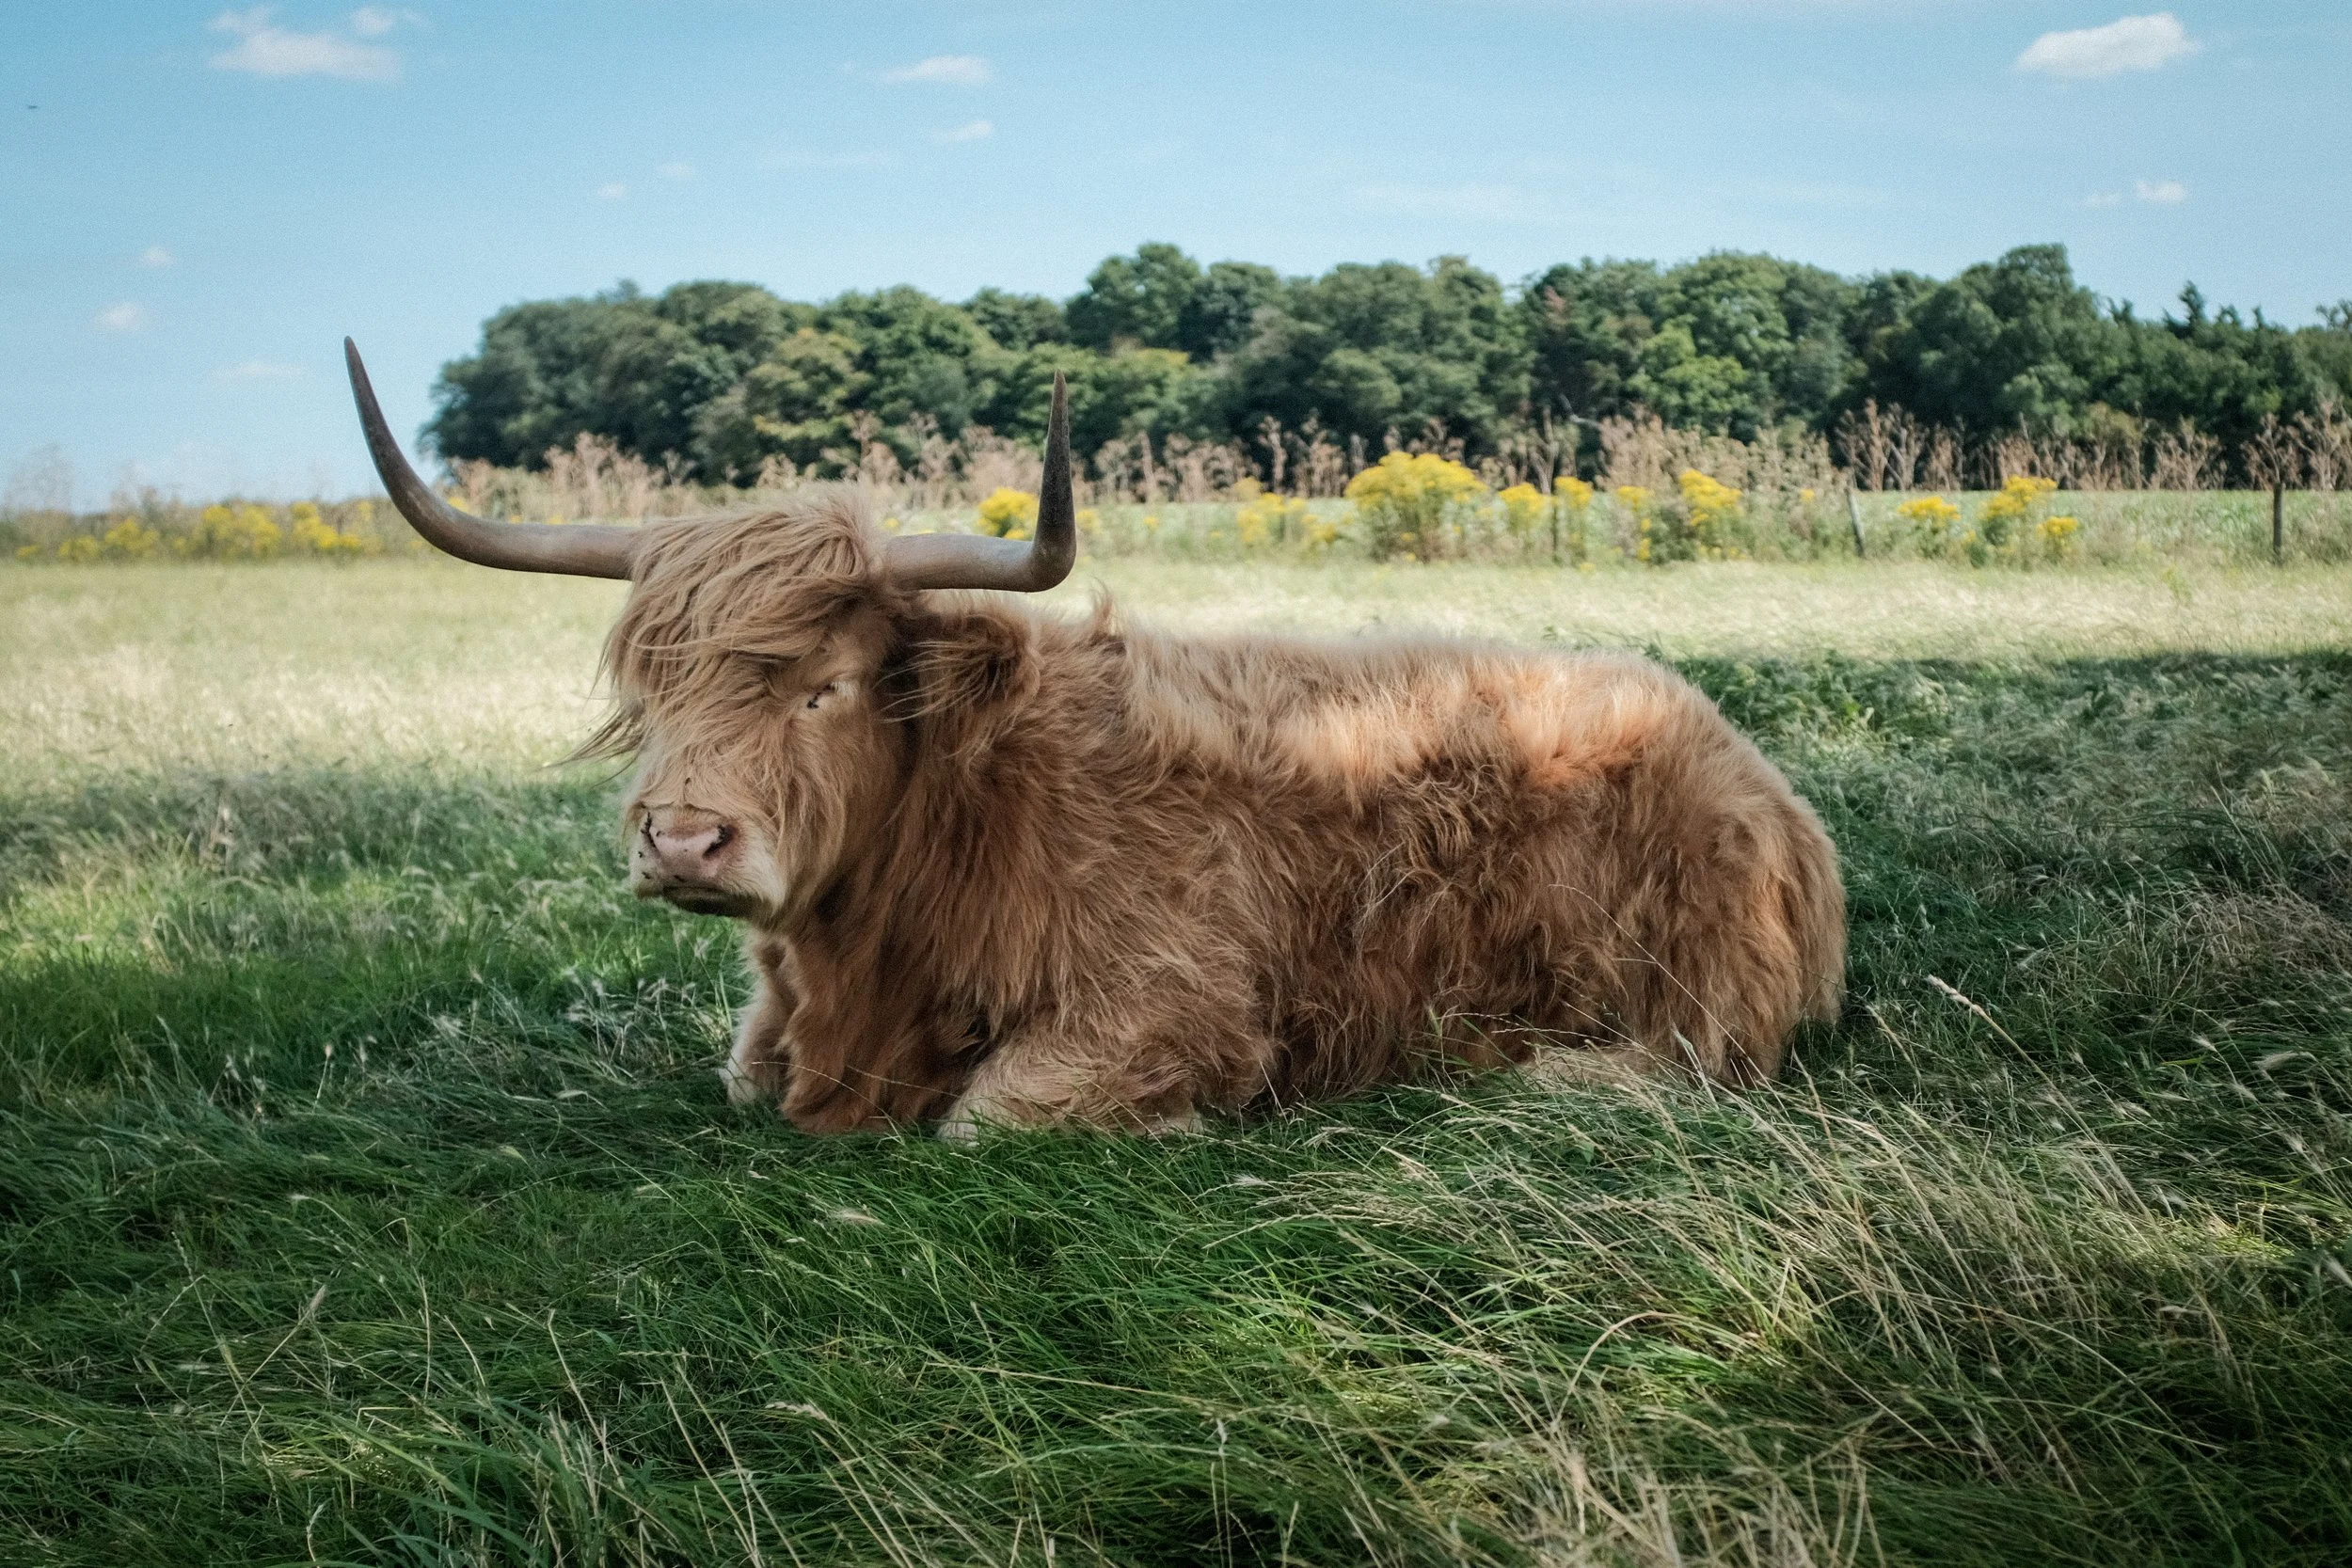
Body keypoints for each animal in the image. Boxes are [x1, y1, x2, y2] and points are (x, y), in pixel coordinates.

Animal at [347, 340, 1844, 1137]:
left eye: (826, 684)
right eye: (651, 689)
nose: (682, 838)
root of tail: (1753, 769)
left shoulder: (1169, 1000)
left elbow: (985, 1114)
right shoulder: (773, 1033)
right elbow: (742, 1071)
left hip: (1686, 1001)